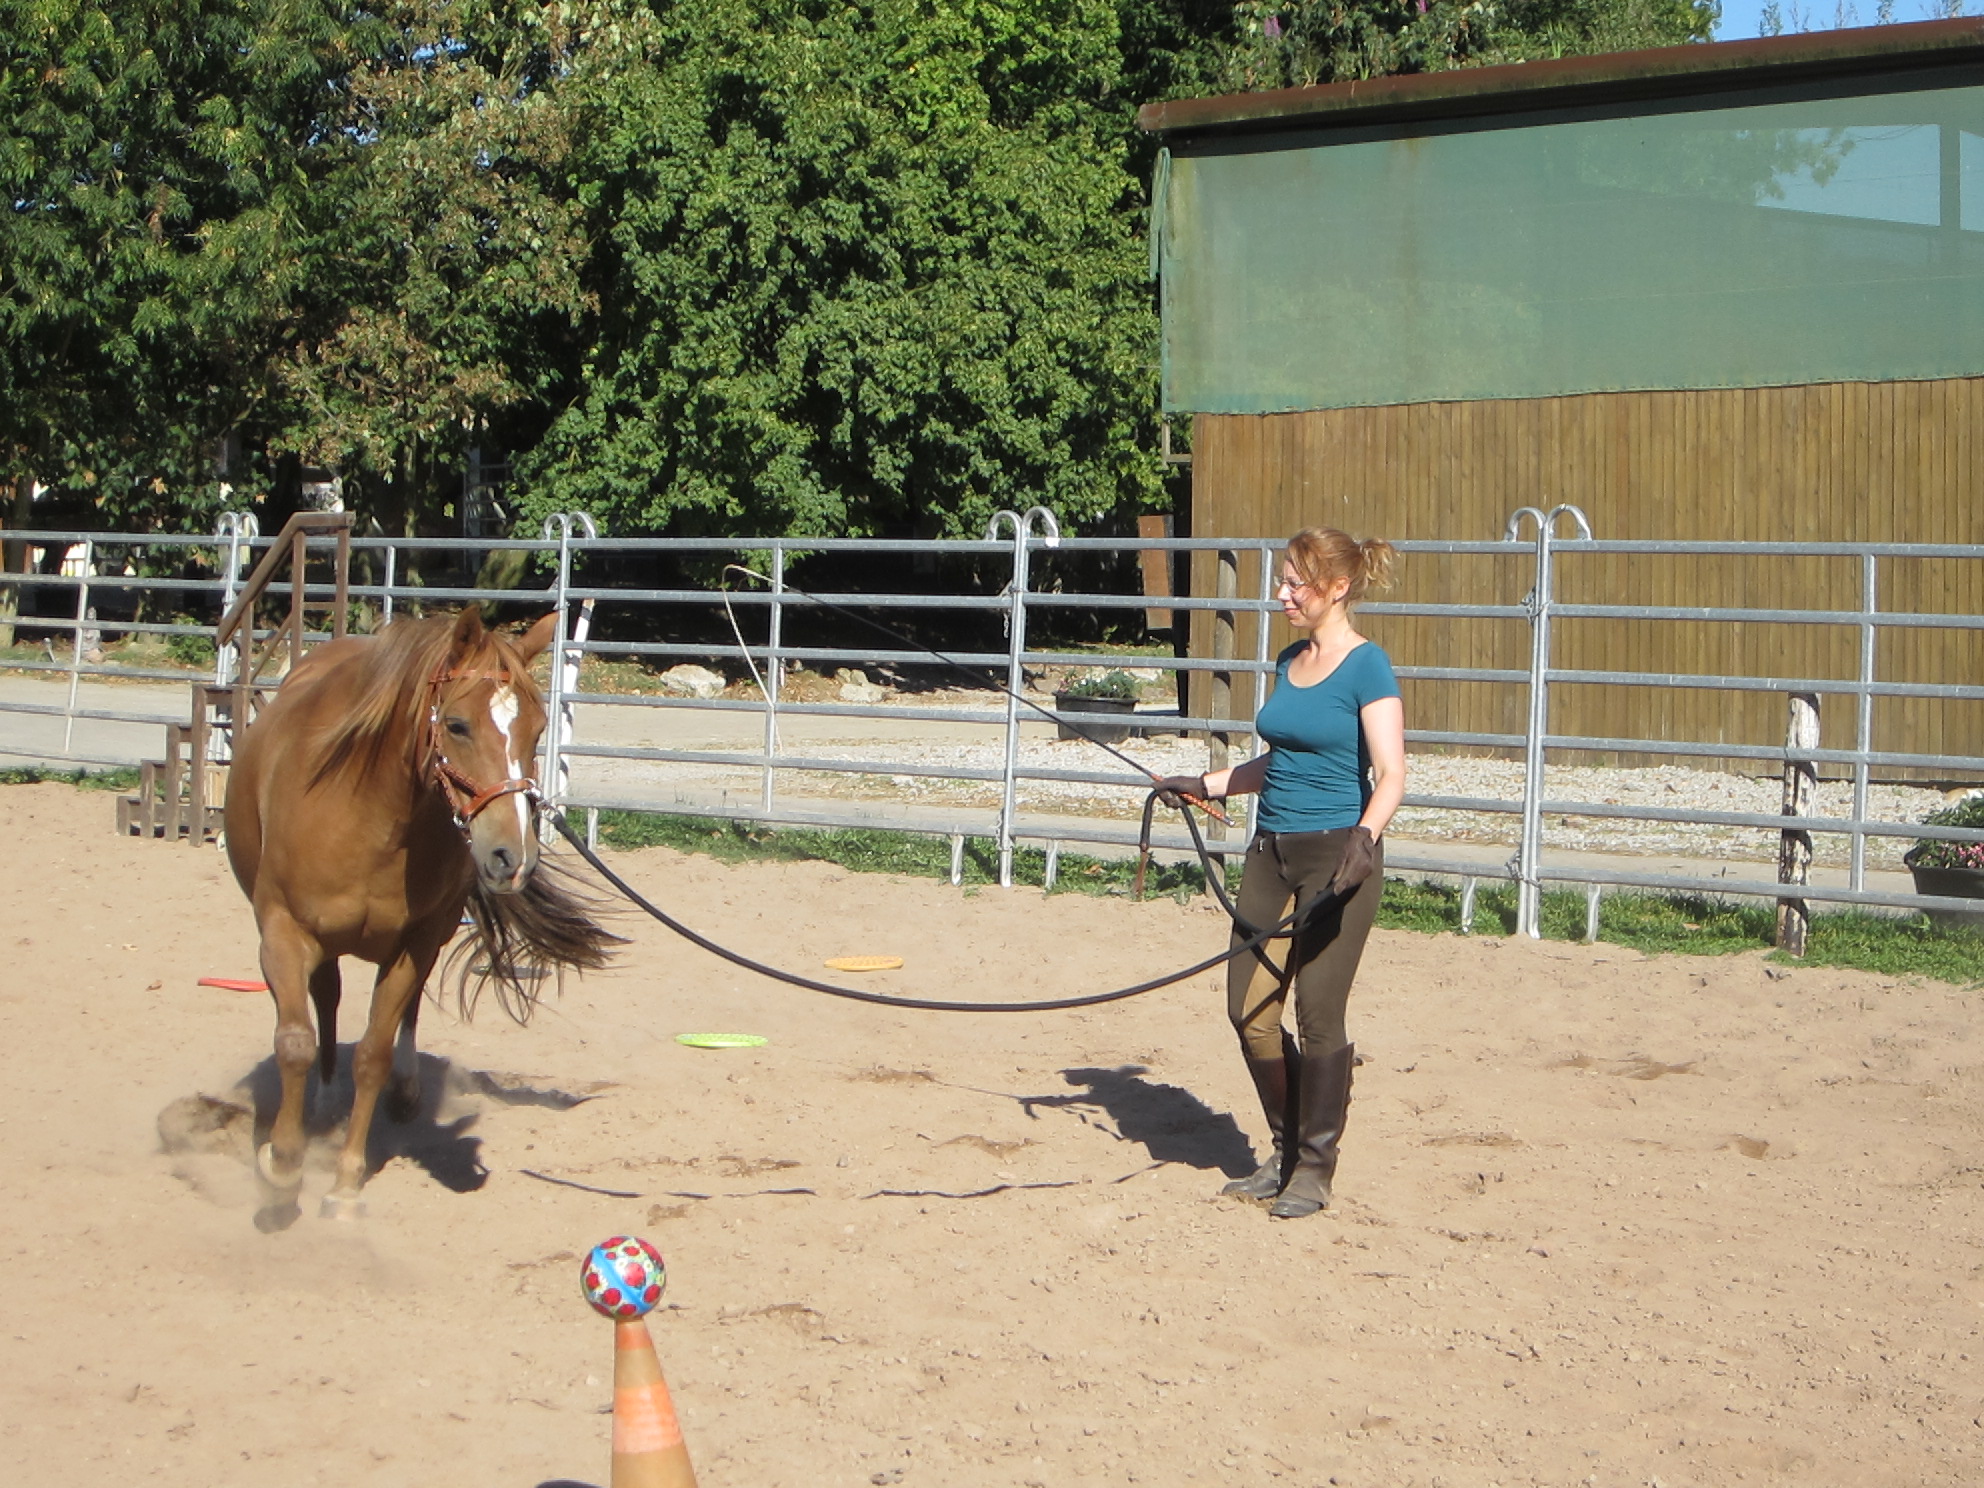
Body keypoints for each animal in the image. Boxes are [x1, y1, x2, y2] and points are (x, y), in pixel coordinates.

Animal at [225, 607, 615, 1238]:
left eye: (537, 729)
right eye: (456, 725)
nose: (511, 856)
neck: (368, 817)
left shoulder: (413, 943)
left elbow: (373, 1056)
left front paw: (344, 1188)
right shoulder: (284, 934)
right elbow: (295, 1043)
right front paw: (282, 1173)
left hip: (427, 939)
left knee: (400, 1014)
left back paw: (403, 1093)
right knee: (326, 1001)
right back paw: (322, 1105)